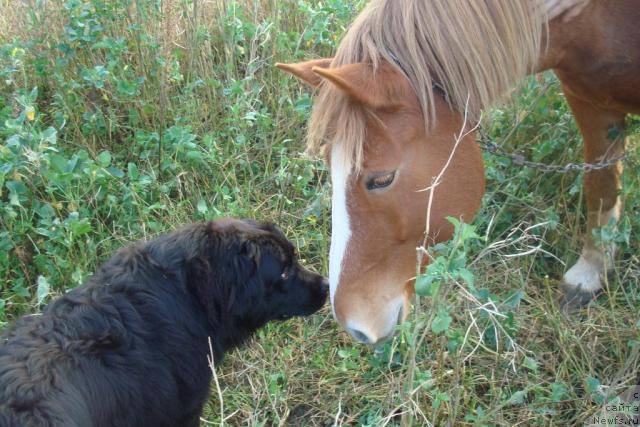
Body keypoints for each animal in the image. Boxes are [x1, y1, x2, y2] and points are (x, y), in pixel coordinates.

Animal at [278, 0, 636, 346]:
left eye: (381, 179)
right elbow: (601, 182)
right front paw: (593, 269)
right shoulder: (587, 98)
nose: (354, 326)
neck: (591, 16)